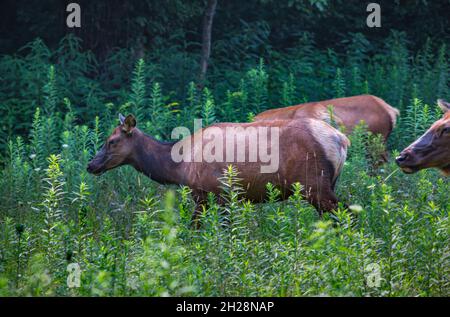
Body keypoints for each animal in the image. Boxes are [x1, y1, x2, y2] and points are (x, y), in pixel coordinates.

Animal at [86, 113, 350, 220]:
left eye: (111, 141)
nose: (91, 165)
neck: (179, 167)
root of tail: (341, 139)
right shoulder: (209, 197)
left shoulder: (214, 192)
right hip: (325, 185)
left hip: (314, 185)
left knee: (345, 212)